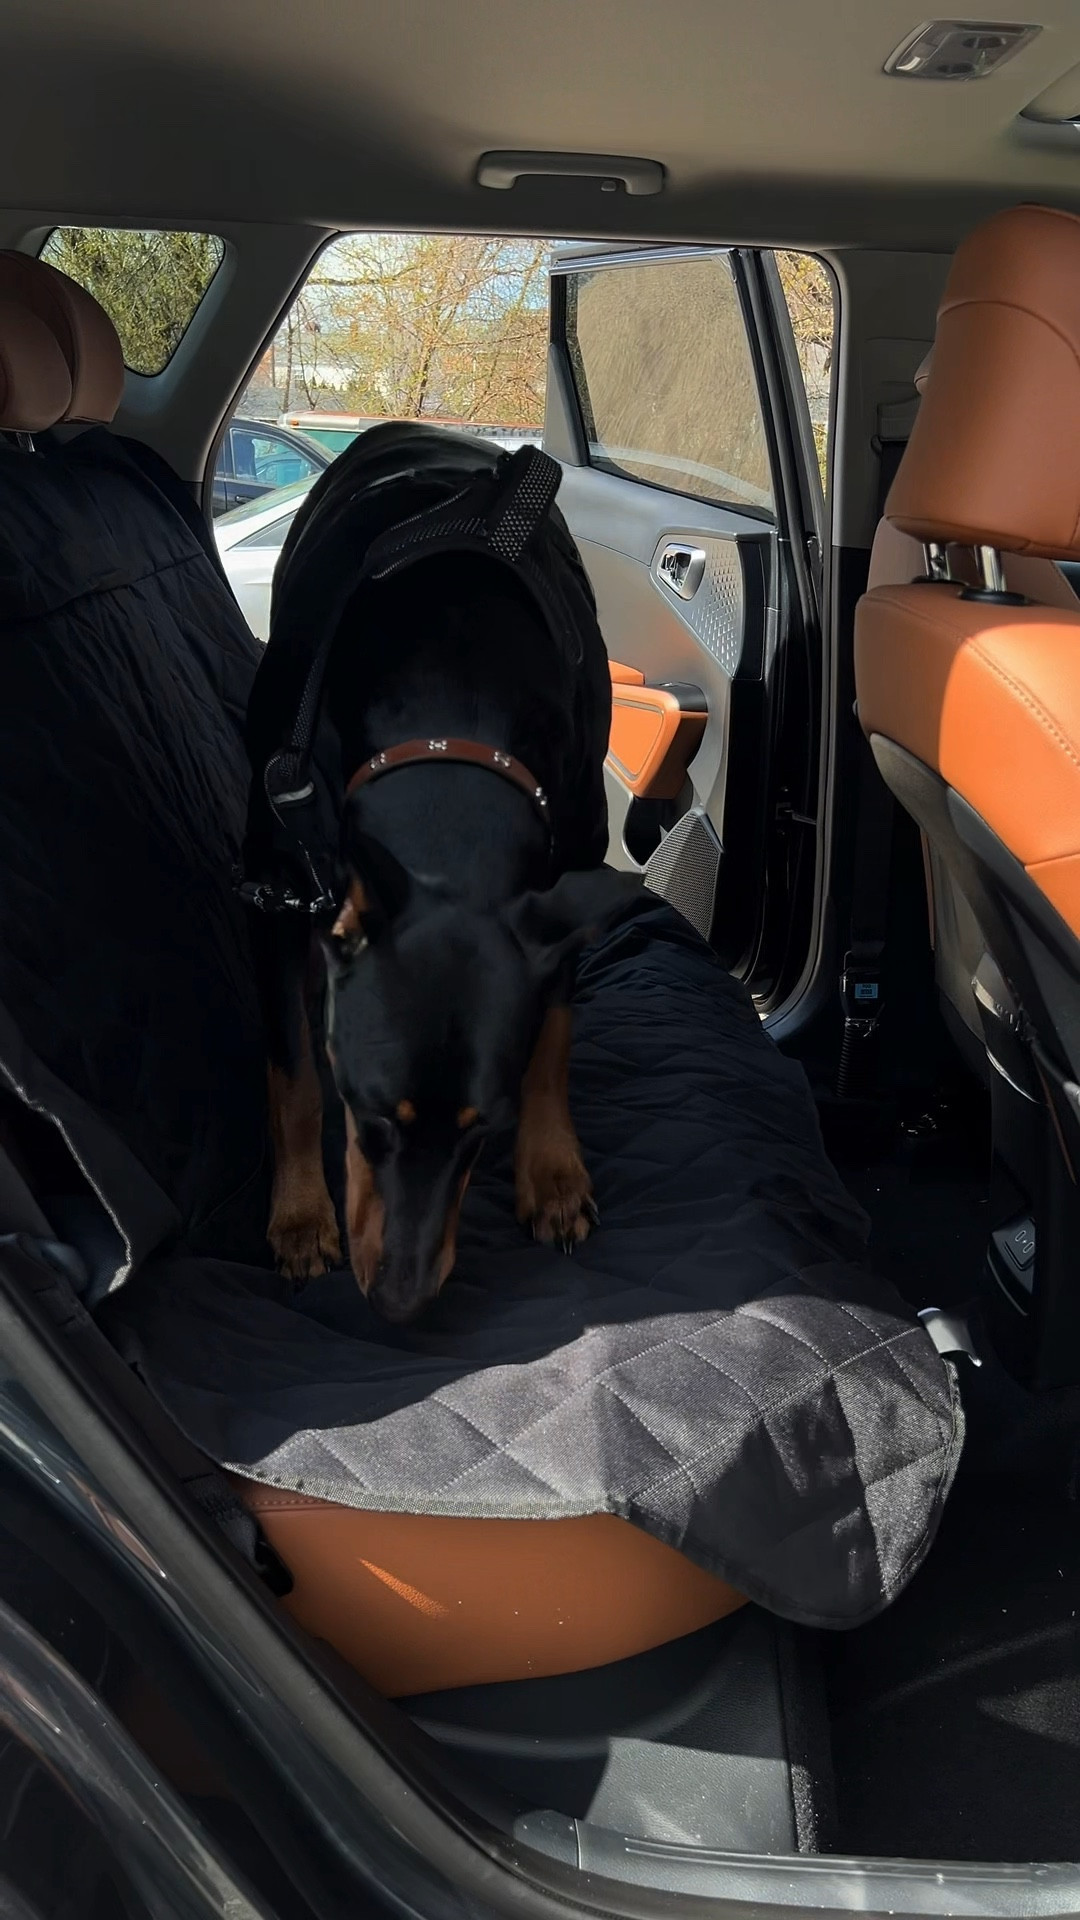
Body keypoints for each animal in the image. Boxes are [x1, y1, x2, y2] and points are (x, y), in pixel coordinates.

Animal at [251, 543, 639, 1324]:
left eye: (482, 1130)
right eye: (370, 1117)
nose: (401, 1300)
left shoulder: (565, 882)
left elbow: (552, 1037)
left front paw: (552, 1174)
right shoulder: (276, 884)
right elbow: (295, 1077)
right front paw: (301, 1217)